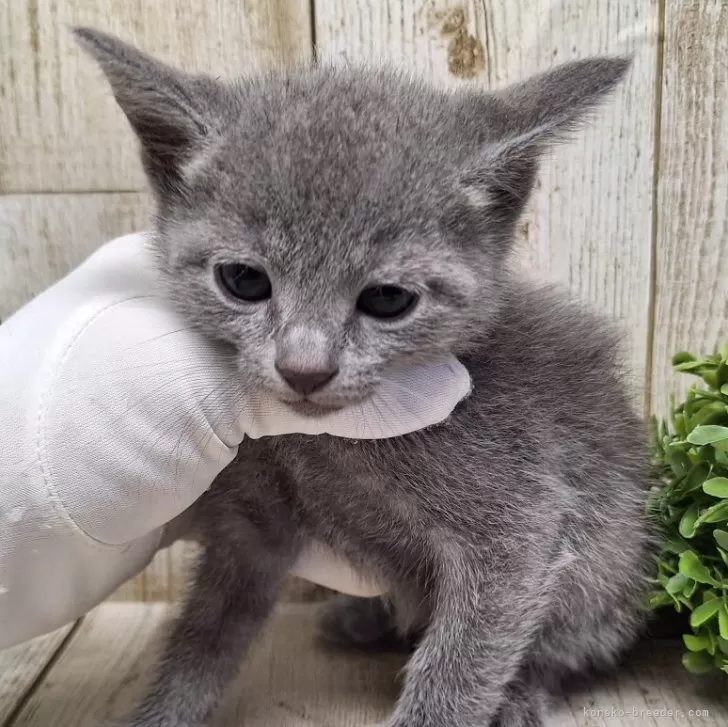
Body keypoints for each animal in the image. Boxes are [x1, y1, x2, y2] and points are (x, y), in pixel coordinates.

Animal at [78, 28, 656, 727]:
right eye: (243, 280)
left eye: (387, 299)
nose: (304, 368)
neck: (323, 447)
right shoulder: (249, 526)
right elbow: (205, 635)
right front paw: (163, 710)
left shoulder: (517, 526)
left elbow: (465, 660)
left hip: (608, 564)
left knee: (569, 641)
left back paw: (520, 694)